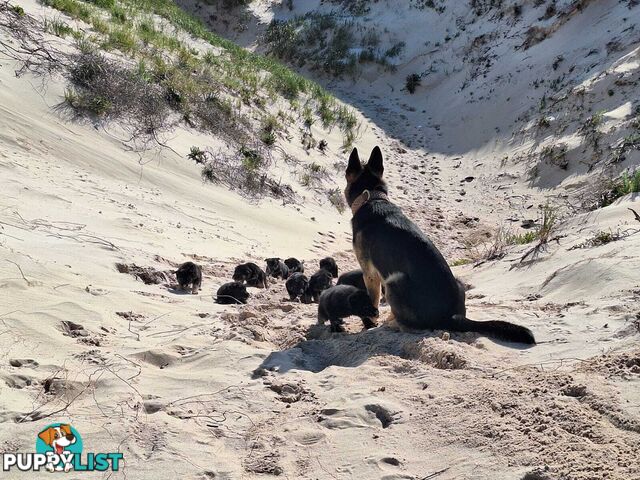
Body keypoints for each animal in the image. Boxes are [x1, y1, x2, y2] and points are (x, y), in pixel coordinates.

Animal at [344, 146, 536, 344]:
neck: (372, 198)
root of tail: (451, 318)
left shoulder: (369, 274)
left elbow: (372, 300)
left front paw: (370, 322)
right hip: (457, 281)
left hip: (394, 282)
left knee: (408, 325)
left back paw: (392, 323)